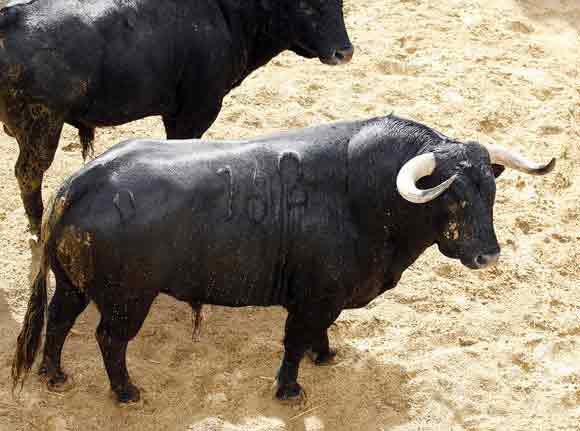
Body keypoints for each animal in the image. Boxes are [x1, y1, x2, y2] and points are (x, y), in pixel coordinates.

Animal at [0, 0, 354, 235]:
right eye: (307, 6)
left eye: (339, 3)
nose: (345, 52)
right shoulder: (197, 110)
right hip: (43, 127)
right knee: (28, 173)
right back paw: (37, 225)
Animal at [10, 115, 552, 404]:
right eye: (452, 197)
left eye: (490, 192)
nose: (488, 255)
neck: (363, 195)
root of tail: (83, 181)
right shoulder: (313, 297)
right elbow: (294, 341)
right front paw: (290, 388)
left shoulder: (327, 298)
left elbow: (318, 334)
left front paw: (326, 356)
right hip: (129, 299)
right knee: (108, 339)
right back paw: (126, 392)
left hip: (73, 284)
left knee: (58, 322)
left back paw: (54, 376)